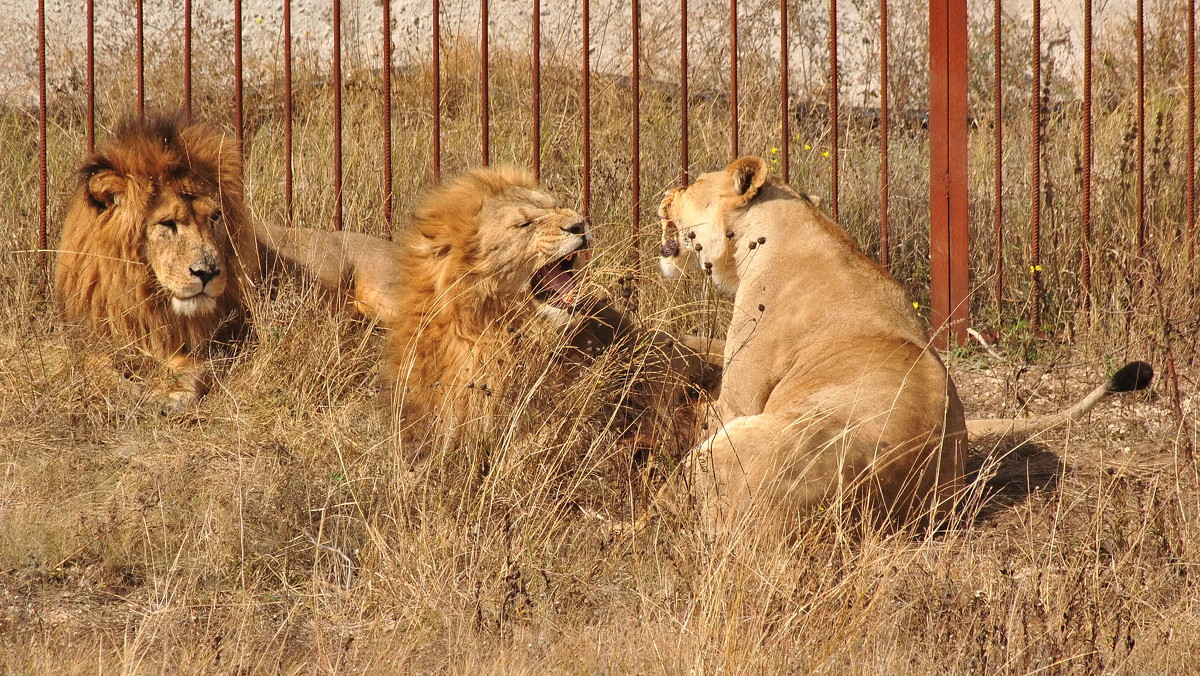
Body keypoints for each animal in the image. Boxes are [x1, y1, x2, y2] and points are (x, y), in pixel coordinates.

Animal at [55, 115, 259, 413]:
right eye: (167, 223)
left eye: (215, 217)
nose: (208, 273)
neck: (147, 298)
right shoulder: (90, 340)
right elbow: (94, 365)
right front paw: (120, 390)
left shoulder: (223, 343)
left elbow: (188, 364)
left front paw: (170, 393)